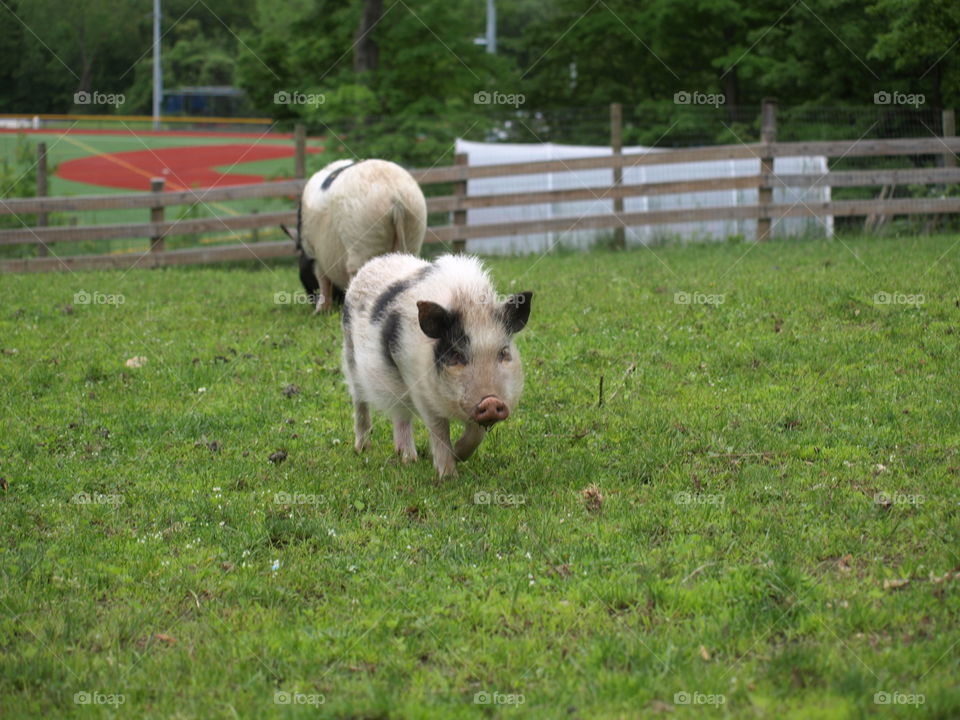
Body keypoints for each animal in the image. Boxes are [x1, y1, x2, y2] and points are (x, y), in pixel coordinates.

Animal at [282, 158, 427, 312]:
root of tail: (395, 197)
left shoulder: (314, 252)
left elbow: (322, 278)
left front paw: (319, 312)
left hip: (362, 232)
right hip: (414, 225)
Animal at [342, 253, 533, 478]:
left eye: (503, 353)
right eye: (456, 355)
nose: (491, 401)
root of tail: (374, 261)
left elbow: (476, 433)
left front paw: (459, 456)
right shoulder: (417, 385)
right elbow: (439, 428)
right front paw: (448, 476)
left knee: (400, 412)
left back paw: (407, 458)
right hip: (350, 353)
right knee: (360, 400)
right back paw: (363, 449)